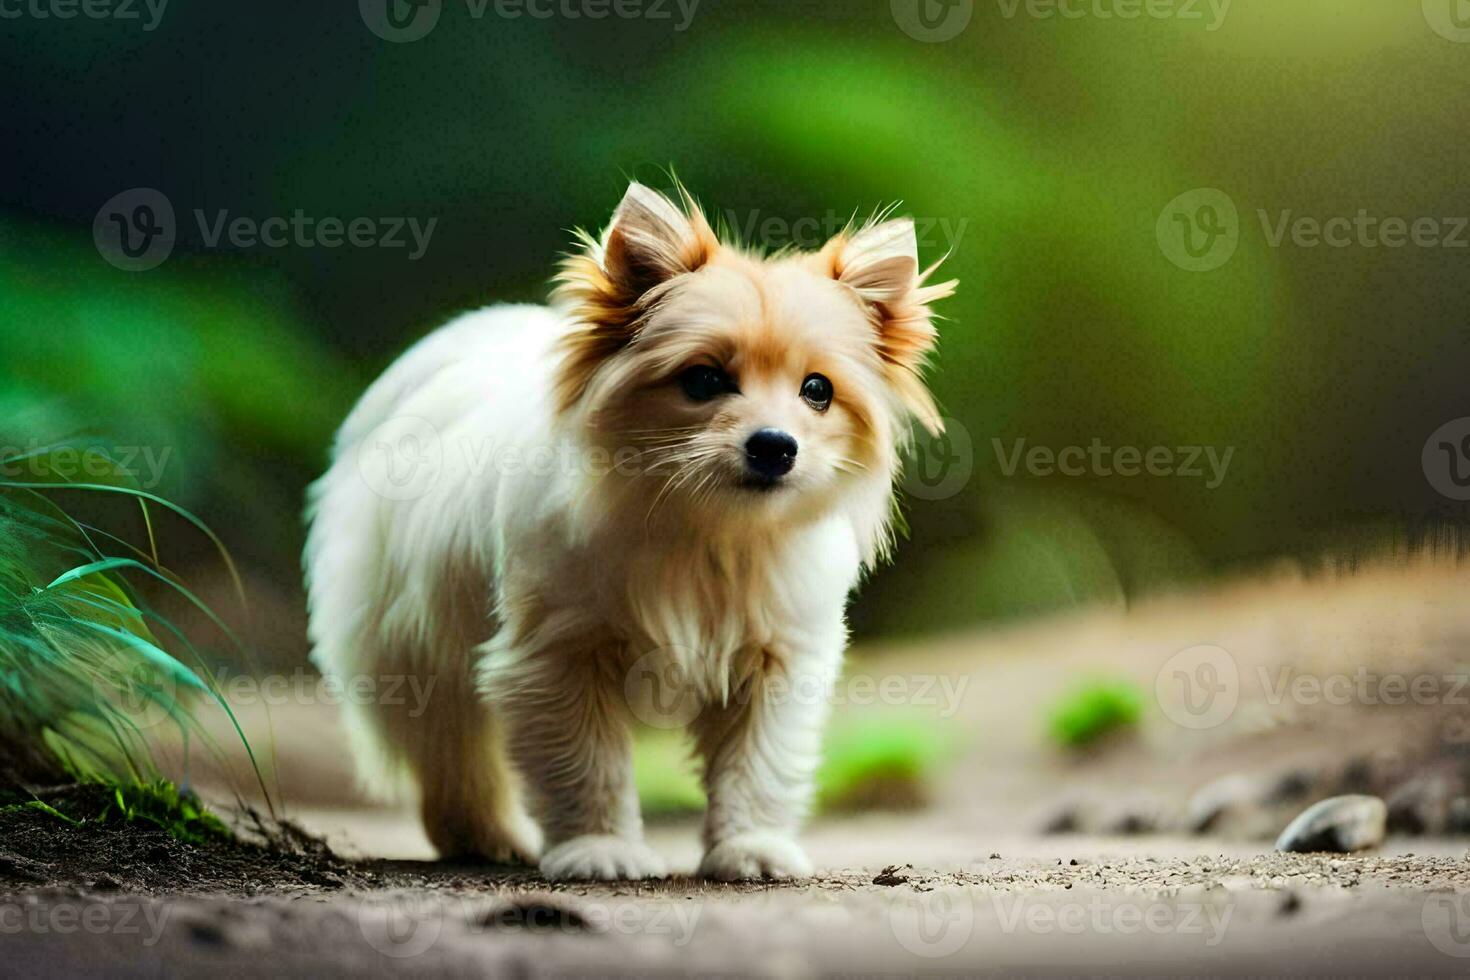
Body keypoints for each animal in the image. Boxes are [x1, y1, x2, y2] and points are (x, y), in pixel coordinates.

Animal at [304, 182, 958, 881]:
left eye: (817, 390)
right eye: (703, 379)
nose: (775, 445)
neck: (707, 533)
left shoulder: (776, 661)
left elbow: (758, 766)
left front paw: (750, 847)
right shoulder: (561, 656)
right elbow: (586, 766)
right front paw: (600, 850)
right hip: (417, 653)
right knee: (453, 756)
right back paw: (488, 838)